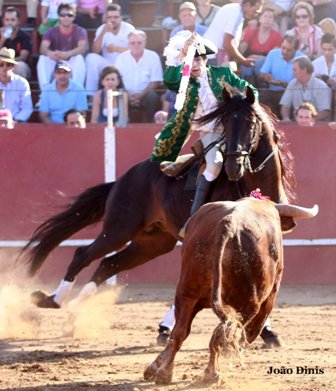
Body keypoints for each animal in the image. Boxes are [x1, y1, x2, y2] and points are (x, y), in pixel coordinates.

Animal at [21, 87, 296, 330]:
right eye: (225, 123)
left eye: (251, 123)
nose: (232, 167)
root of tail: (122, 179)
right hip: (119, 229)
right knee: (84, 254)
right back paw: (55, 300)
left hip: (153, 242)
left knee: (109, 264)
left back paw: (75, 310)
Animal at [144, 199, 318, 386]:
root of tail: (228, 225)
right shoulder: (270, 296)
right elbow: (248, 333)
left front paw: (153, 368)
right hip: (248, 302)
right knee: (224, 333)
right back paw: (211, 373)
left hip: (187, 291)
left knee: (181, 332)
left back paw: (165, 373)